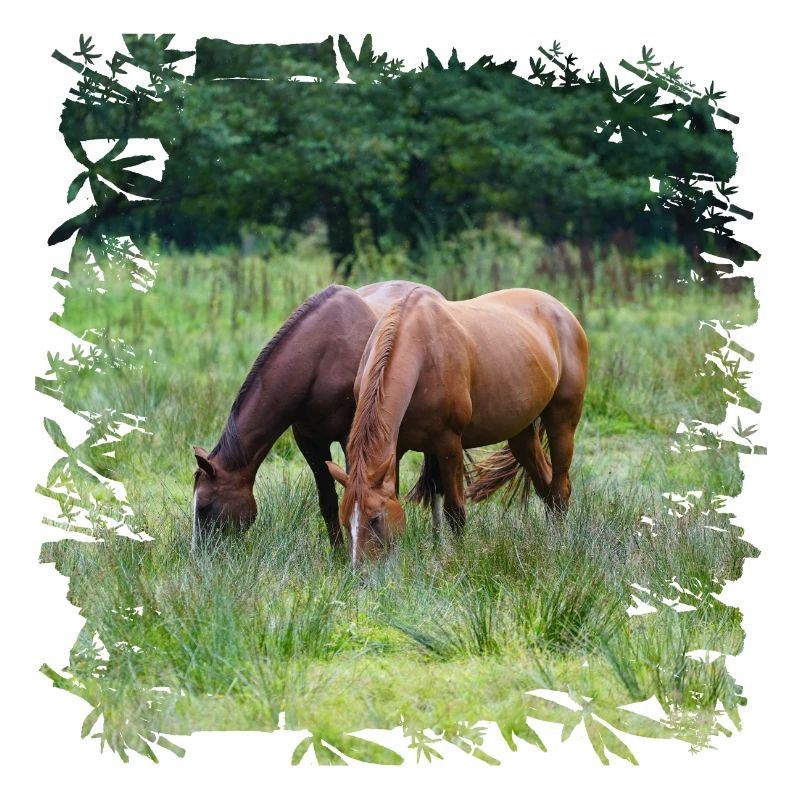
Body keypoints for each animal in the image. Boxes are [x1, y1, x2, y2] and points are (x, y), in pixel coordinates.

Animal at [191, 280, 445, 552]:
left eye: (204, 508)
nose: (199, 557)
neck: (320, 359)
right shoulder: (309, 441)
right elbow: (328, 501)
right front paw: (338, 555)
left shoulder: (350, 440)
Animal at [325, 286, 589, 566]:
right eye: (346, 521)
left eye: (375, 519)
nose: (360, 571)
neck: (421, 350)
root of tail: (563, 312)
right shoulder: (396, 448)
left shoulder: (449, 444)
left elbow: (455, 510)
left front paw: (458, 556)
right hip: (522, 434)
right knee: (545, 485)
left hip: (562, 423)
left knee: (560, 489)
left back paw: (559, 545)